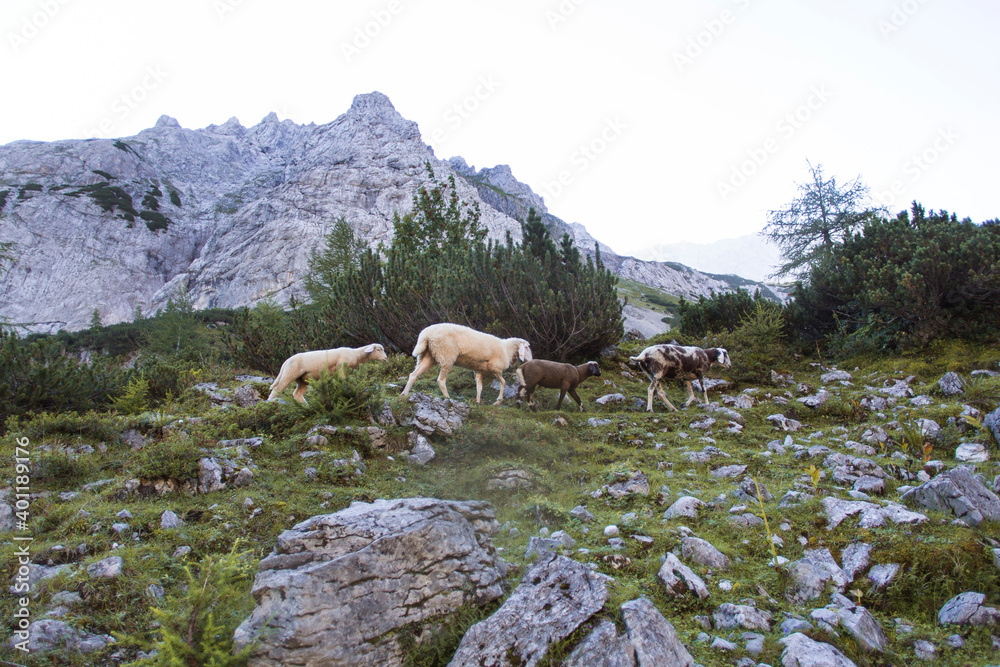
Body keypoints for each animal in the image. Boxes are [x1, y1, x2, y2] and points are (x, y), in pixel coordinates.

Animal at [400, 323, 532, 405]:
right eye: (527, 347)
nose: (531, 360)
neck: (507, 349)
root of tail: (425, 334)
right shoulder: (495, 368)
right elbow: (503, 382)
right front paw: (498, 401)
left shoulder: (479, 370)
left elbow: (479, 386)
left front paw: (478, 402)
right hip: (447, 356)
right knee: (441, 380)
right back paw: (448, 398)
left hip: (429, 356)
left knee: (414, 375)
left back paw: (404, 394)